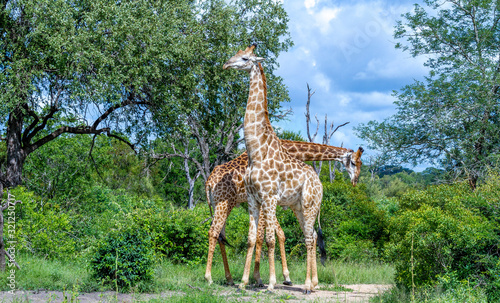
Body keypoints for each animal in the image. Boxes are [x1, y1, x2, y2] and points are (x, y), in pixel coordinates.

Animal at [203, 142, 364, 288]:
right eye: (354, 162)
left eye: (361, 163)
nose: (355, 181)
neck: (290, 150)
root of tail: (209, 182)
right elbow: (262, 237)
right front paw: (259, 279)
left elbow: (280, 234)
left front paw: (285, 277)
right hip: (224, 203)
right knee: (213, 232)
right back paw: (209, 278)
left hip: (221, 205)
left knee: (220, 236)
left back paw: (229, 279)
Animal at [223, 44, 324, 294]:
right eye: (236, 53)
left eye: (245, 58)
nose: (226, 64)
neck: (255, 151)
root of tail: (320, 184)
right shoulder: (252, 198)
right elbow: (251, 238)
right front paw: (243, 283)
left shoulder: (269, 197)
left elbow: (269, 239)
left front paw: (270, 283)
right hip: (299, 207)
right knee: (311, 235)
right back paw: (314, 283)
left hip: (310, 205)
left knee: (309, 238)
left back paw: (306, 285)